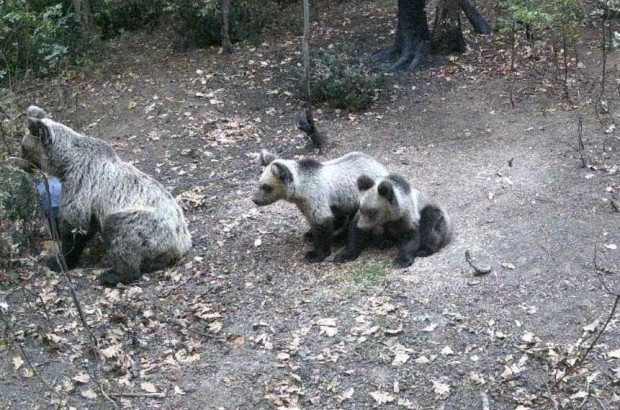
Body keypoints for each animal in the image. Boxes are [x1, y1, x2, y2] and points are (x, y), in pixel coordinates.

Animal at [23, 105, 191, 286]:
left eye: (23, 148)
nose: (21, 164)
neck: (66, 164)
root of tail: (182, 244)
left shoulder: (81, 184)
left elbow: (75, 224)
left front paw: (59, 262)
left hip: (149, 227)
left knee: (120, 233)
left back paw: (112, 275)